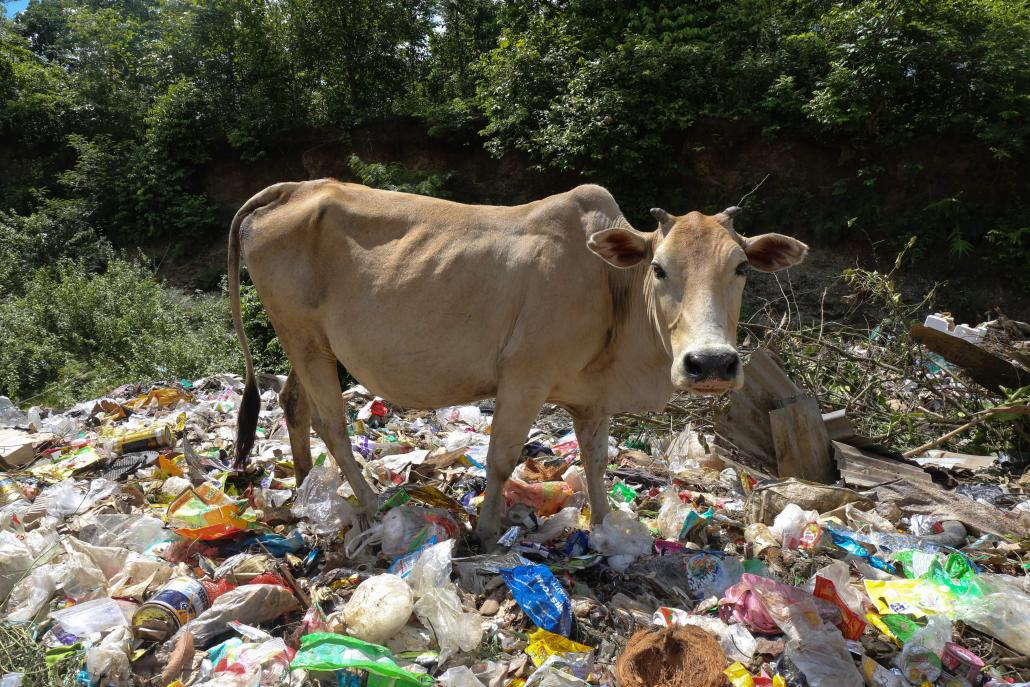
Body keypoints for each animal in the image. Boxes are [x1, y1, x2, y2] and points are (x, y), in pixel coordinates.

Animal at [229, 180, 807, 543]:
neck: (611, 289)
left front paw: (604, 526)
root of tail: (292, 188)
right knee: (332, 423)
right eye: (659, 268)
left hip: (309, 344)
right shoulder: (524, 379)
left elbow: (596, 461)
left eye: (741, 267)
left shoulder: (591, 400)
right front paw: (485, 532)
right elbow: (501, 458)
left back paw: (307, 487)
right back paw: (371, 507)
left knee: (294, 403)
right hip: (303, 336)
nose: (710, 363)